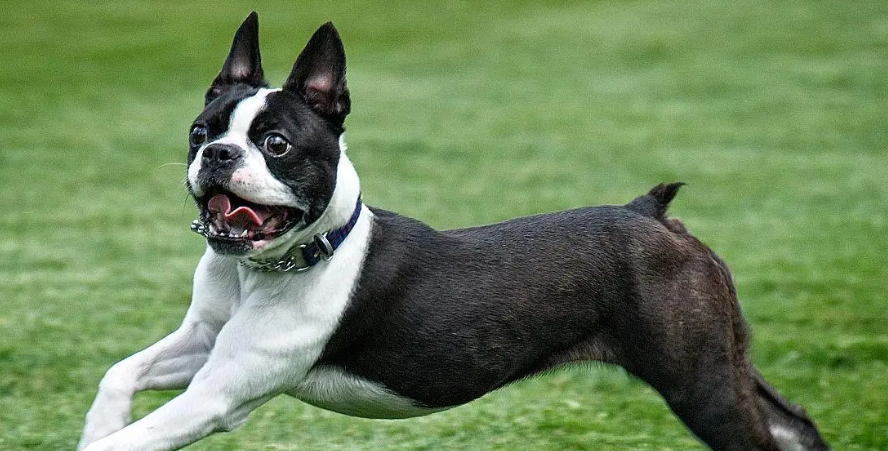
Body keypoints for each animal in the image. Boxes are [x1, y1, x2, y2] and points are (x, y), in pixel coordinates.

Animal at [78, 11, 832, 451]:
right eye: (199, 131)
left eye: (277, 144)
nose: (218, 154)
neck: (270, 266)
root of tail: (651, 212)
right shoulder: (204, 342)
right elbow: (119, 374)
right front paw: (101, 420)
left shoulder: (219, 393)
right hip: (717, 358)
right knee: (789, 421)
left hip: (694, 377)